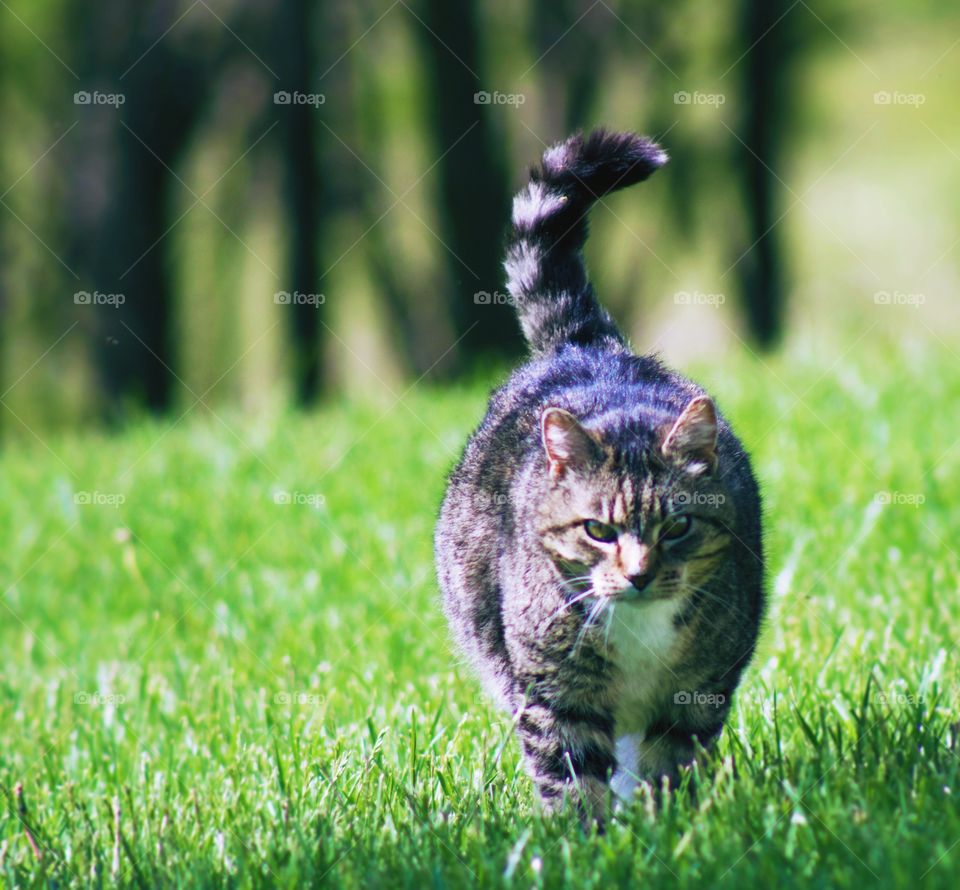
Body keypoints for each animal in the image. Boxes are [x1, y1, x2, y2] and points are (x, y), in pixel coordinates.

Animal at [436, 128, 764, 816]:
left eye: (678, 528)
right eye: (597, 531)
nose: (638, 575)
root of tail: (589, 348)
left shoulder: (697, 695)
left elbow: (671, 768)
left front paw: (669, 827)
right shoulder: (554, 695)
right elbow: (573, 777)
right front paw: (585, 837)